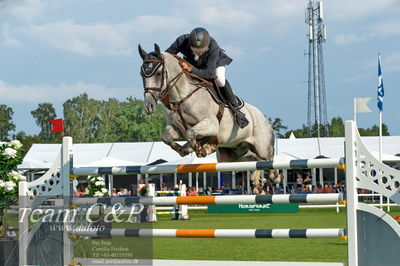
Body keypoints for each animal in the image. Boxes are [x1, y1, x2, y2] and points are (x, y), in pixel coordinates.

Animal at [139, 43, 276, 190]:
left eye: (158, 73)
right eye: (141, 74)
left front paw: (200, 149)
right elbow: (168, 136)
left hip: (263, 149)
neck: (181, 96)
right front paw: (185, 149)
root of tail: (264, 118)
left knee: (268, 162)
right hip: (230, 154)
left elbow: (191, 133)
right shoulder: (177, 127)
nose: (148, 106)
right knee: (250, 160)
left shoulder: (211, 124)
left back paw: (275, 177)